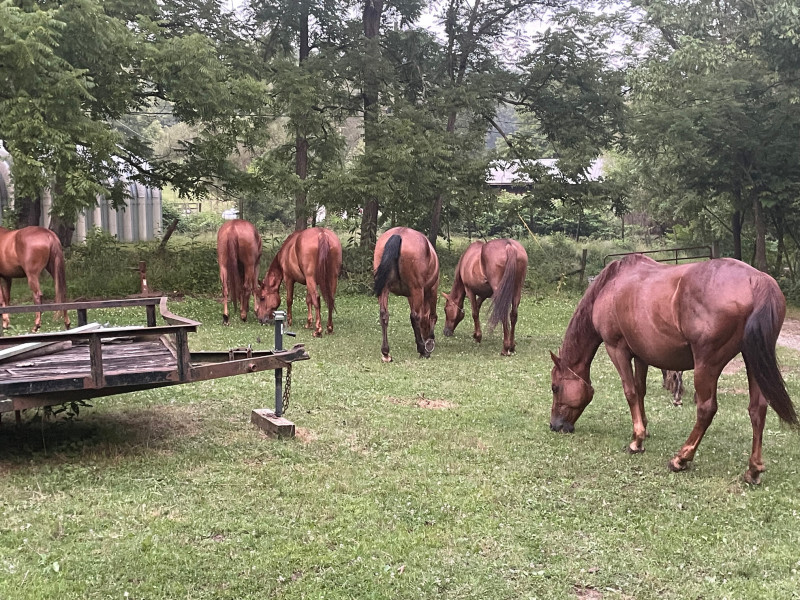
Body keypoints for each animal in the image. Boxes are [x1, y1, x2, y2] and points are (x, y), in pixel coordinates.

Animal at [373, 227, 439, 362]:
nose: (425, 337)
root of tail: (399, 233)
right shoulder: (431, 290)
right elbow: (431, 316)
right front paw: (429, 342)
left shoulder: (410, 296)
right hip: (417, 289)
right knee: (415, 316)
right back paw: (422, 350)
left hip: (384, 289)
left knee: (384, 315)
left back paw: (386, 353)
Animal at [549, 253, 798, 485]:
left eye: (555, 387)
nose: (555, 425)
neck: (610, 287)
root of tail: (757, 281)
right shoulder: (641, 355)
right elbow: (640, 391)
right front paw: (643, 429)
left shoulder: (617, 348)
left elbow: (630, 392)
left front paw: (636, 441)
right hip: (753, 361)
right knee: (757, 410)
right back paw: (753, 470)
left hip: (707, 364)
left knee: (706, 409)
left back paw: (681, 458)